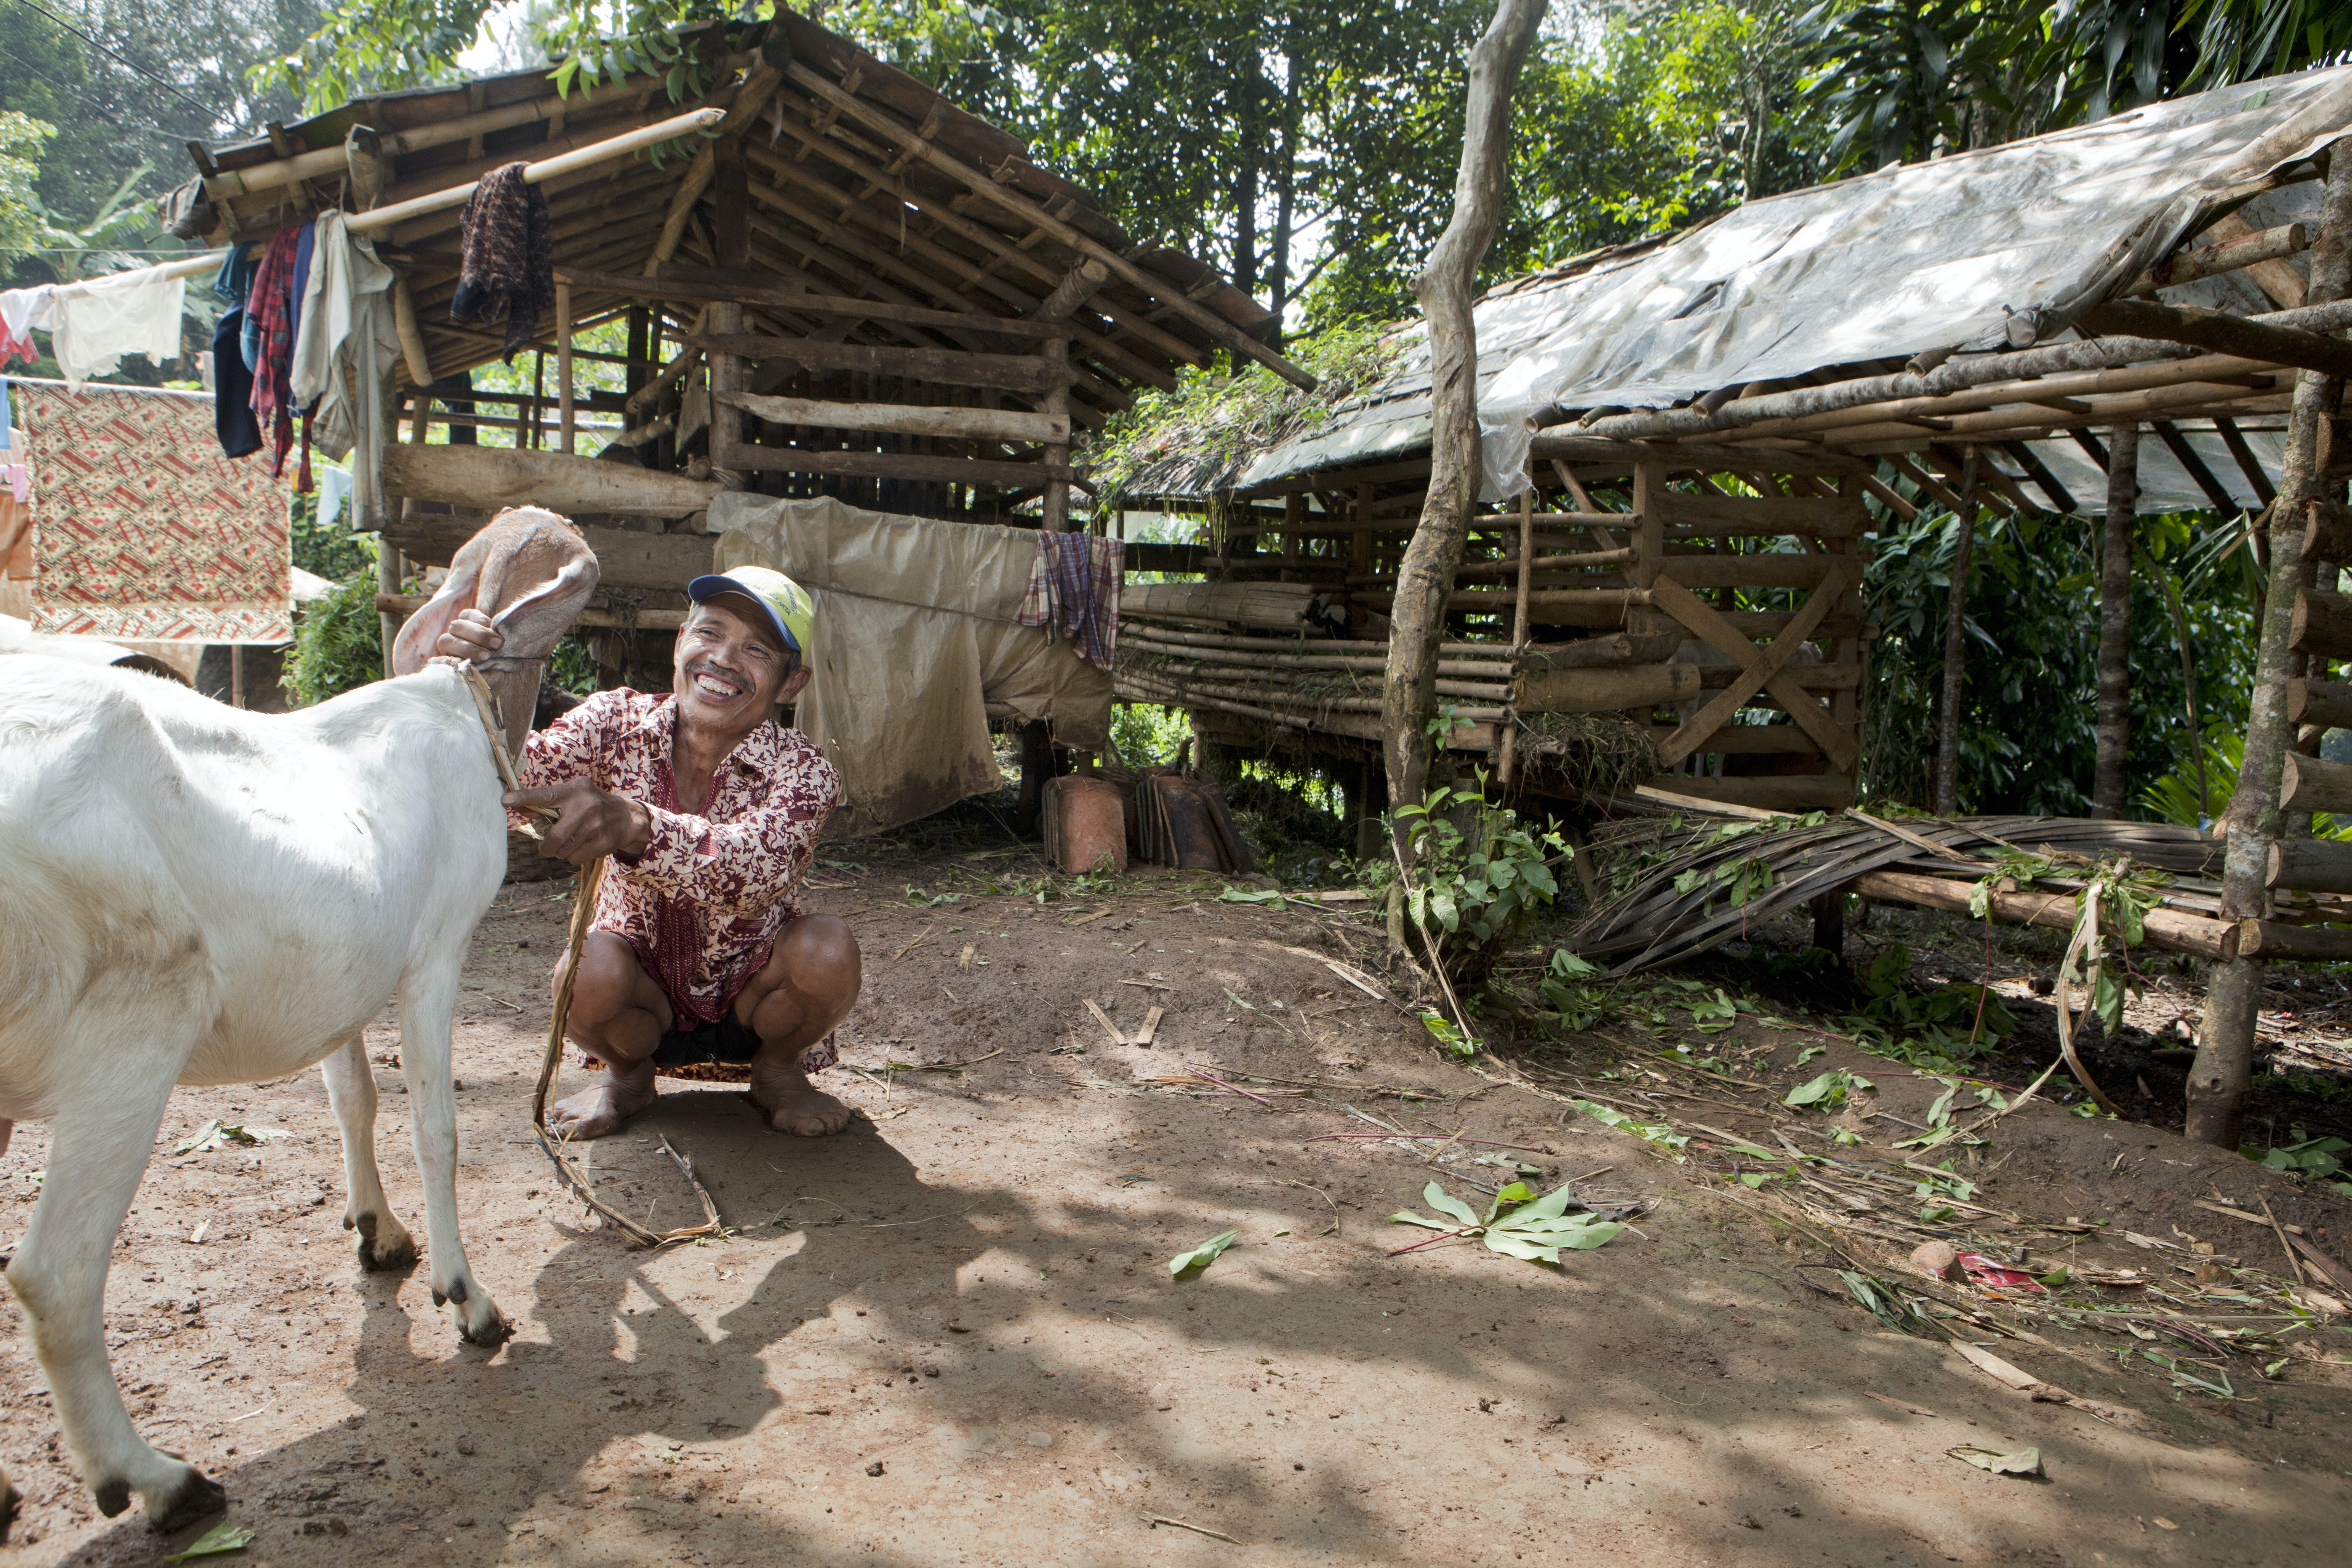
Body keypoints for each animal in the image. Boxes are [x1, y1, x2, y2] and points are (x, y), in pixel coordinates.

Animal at [0, 505, 597, 1532]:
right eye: (579, 562)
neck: (460, 704)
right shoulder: (434, 954)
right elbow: (435, 1128)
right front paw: (467, 1298)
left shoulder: (343, 974)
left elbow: (353, 1097)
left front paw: (379, 1234)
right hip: (131, 1035)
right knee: (55, 1273)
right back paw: (160, 1480)